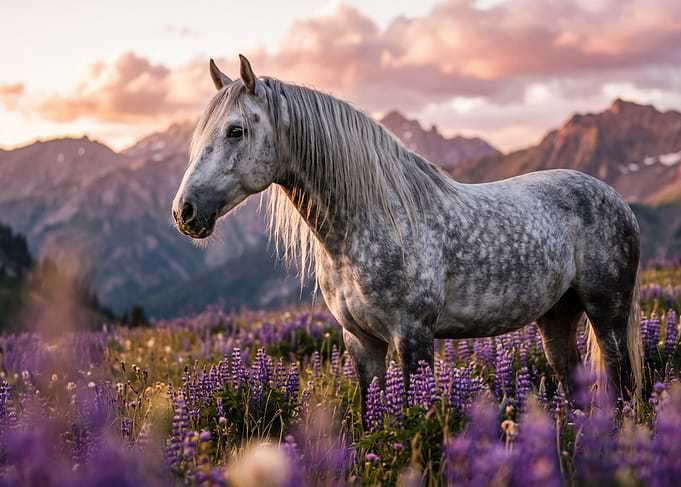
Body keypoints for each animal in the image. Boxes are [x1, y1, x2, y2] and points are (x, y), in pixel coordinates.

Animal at [172, 55, 643, 404]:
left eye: (235, 130)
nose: (185, 212)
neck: (367, 227)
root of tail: (615, 199)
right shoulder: (360, 341)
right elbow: (373, 415)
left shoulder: (412, 336)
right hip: (557, 315)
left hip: (607, 311)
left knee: (623, 385)